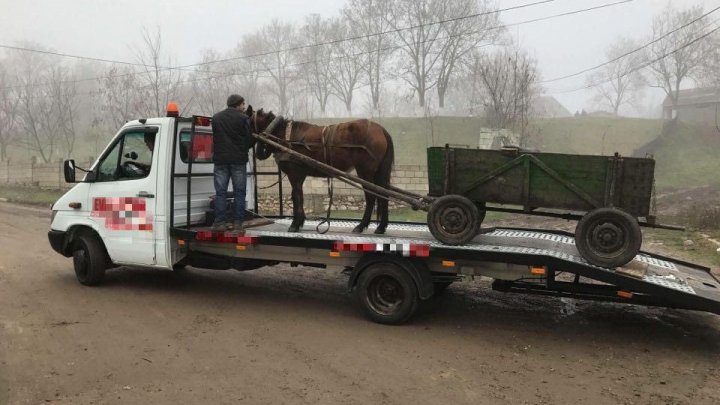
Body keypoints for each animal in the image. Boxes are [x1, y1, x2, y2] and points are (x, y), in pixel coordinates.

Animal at [248, 105, 394, 234]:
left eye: (247, 119)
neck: (286, 137)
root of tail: (380, 129)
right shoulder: (300, 174)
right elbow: (298, 196)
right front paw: (300, 221)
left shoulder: (294, 173)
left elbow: (296, 197)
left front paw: (295, 224)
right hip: (378, 172)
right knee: (383, 195)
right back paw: (381, 227)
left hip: (365, 171)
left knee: (371, 196)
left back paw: (361, 225)